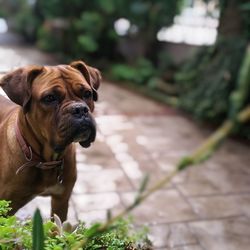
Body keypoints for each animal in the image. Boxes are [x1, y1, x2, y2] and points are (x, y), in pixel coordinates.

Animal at [0, 60, 100, 221]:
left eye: (87, 93)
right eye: (50, 98)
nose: (80, 109)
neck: (46, 160)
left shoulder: (61, 200)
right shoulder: (6, 206)